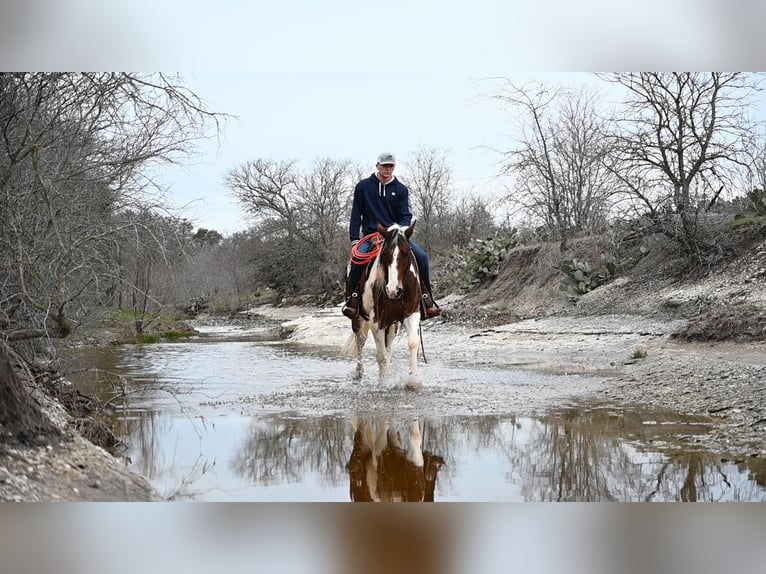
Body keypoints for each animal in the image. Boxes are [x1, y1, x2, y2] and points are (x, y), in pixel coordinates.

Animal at [344, 223, 424, 384]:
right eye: (385, 254)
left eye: (406, 254)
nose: (393, 290)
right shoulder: (376, 321)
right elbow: (380, 355)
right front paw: (383, 383)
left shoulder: (412, 312)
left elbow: (413, 342)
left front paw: (413, 382)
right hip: (358, 317)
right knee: (360, 339)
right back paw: (359, 373)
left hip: (392, 322)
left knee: (388, 345)